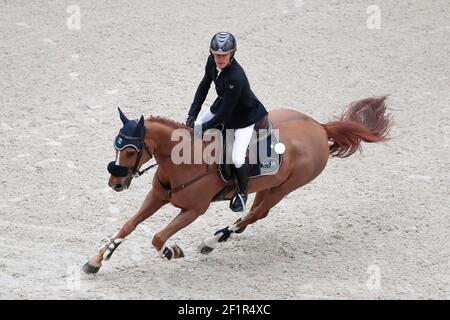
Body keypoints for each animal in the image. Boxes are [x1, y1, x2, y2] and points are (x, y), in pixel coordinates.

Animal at [82, 96, 392, 274]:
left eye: (130, 151)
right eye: (115, 146)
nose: (115, 183)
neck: (183, 159)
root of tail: (320, 127)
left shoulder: (194, 210)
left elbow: (158, 237)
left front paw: (173, 252)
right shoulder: (157, 196)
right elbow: (128, 226)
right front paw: (96, 261)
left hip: (285, 188)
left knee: (257, 214)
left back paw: (211, 241)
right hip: (269, 185)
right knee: (254, 212)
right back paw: (223, 236)